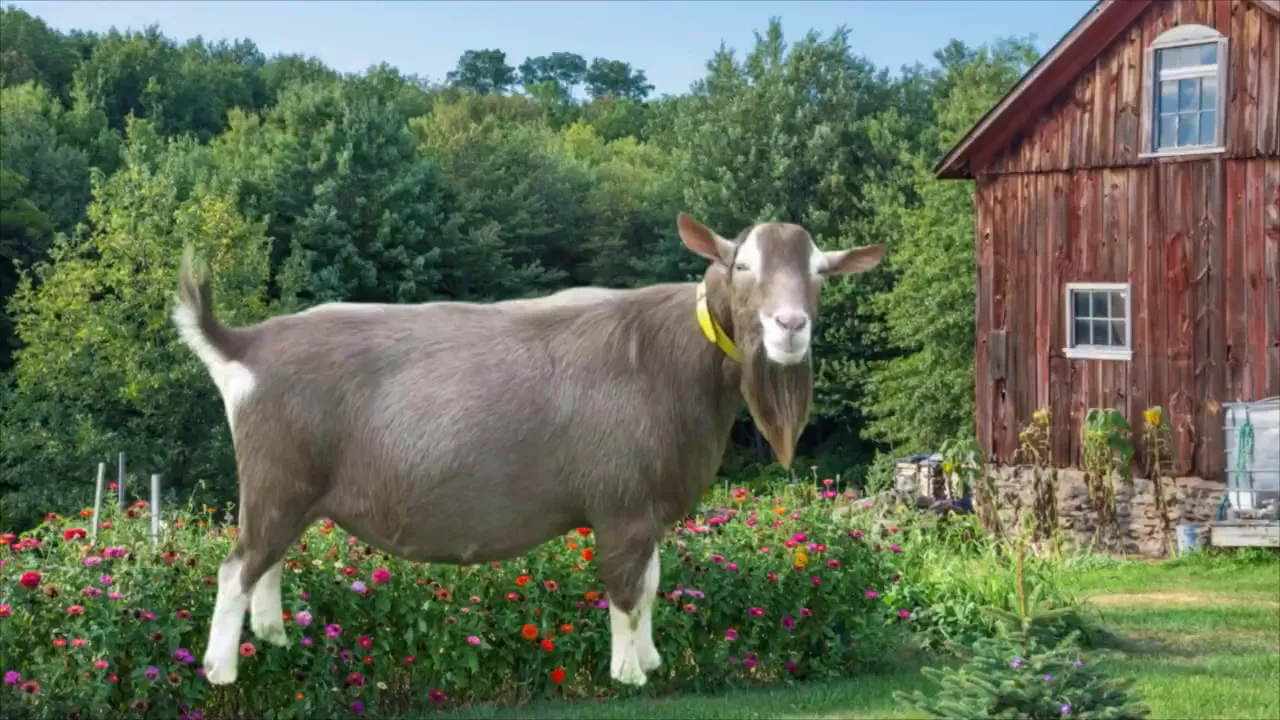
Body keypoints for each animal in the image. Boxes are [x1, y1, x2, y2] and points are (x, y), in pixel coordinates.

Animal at [171, 213, 885, 688]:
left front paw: (651, 658)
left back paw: (275, 635)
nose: (789, 326)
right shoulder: (621, 506)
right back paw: (220, 669)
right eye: (742, 265)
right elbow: (626, 590)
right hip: (275, 480)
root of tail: (246, 344)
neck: (672, 356)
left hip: (293, 493)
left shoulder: (646, 509)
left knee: (268, 560)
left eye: (820, 273)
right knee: (237, 566)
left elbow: (653, 583)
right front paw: (629, 675)